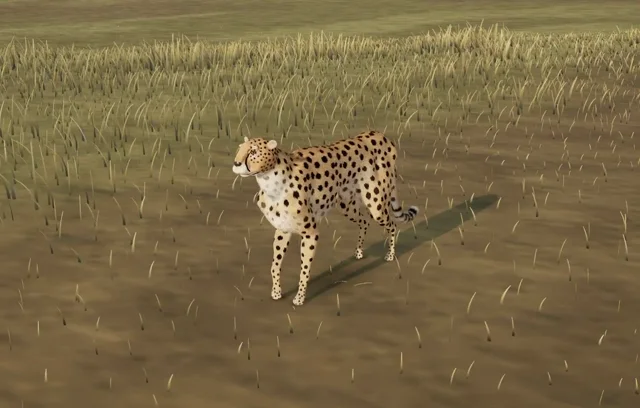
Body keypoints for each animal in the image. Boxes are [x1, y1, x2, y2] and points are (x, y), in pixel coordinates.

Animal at [232, 130, 419, 306]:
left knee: (392, 224)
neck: (270, 180)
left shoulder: (310, 233)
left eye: (253, 151)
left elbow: (304, 268)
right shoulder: (283, 229)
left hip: (376, 204)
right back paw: (358, 252)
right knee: (365, 221)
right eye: (239, 148)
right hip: (347, 205)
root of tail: (379, 134)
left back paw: (390, 255)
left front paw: (299, 298)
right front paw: (276, 292)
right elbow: (275, 265)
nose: (236, 163)